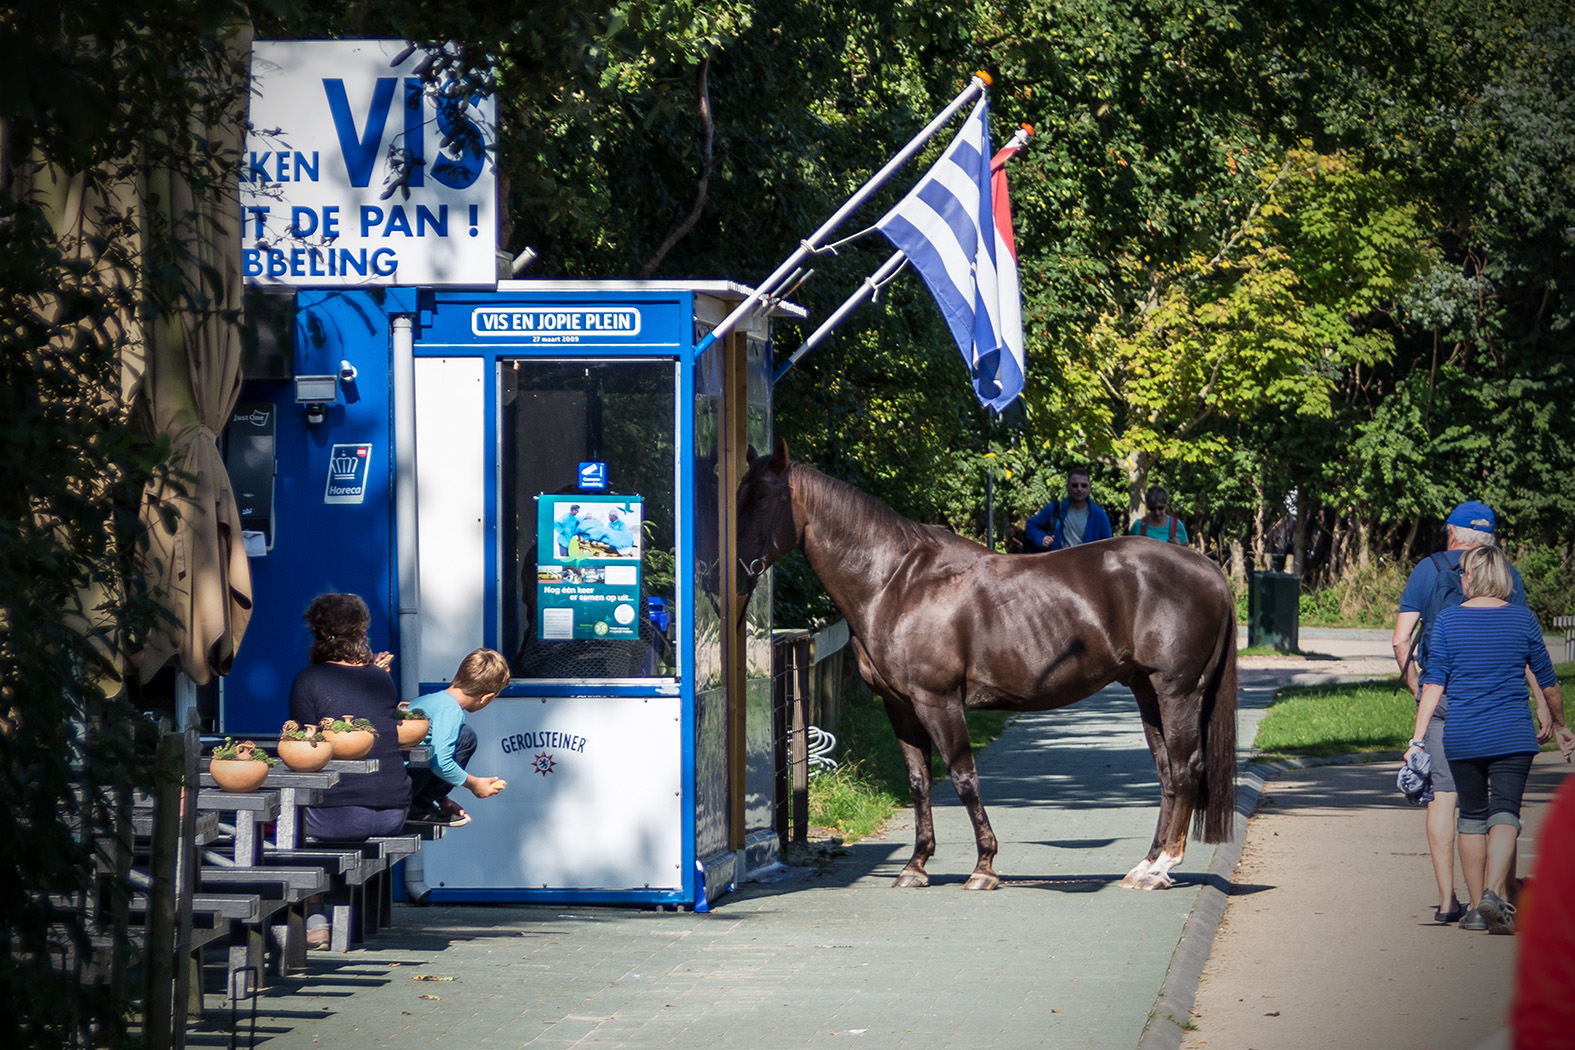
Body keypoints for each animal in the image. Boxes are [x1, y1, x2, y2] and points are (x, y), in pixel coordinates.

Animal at [740, 440, 1241, 894]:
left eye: (763, 496)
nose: (736, 568)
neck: (895, 584)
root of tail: (1210, 570)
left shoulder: (938, 702)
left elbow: (963, 778)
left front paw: (984, 867)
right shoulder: (899, 707)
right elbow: (919, 782)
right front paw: (915, 866)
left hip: (1177, 691)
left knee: (1187, 766)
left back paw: (1163, 867)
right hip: (1146, 690)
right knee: (1166, 771)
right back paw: (1146, 867)